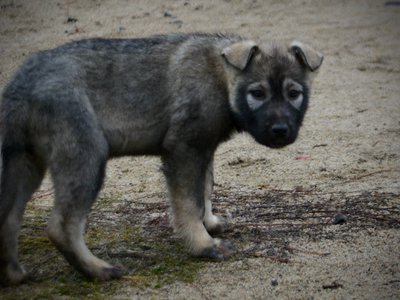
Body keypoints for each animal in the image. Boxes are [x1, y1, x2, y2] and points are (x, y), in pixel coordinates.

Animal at [0, 34, 322, 284]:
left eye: (294, 93)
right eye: (257, 93)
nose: (280, 131)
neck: (220, 76)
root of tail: (21, 85)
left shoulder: (203, 150)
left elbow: (205, 191)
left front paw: (210, 223)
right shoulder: (184, 149)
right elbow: (188, 203)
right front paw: (203, 245)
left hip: (25, 163)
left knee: (9, 218)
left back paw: (15, 275)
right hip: (85, 155)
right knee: (62, 226)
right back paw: (98, 270)